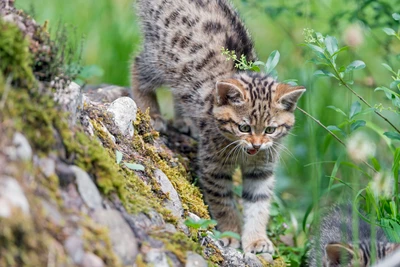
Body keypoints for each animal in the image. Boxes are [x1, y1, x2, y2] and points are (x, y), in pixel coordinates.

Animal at [130, 0, 304, 256]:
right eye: (244, 127)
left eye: (270, 130)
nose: (256, 145)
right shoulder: (213, 167)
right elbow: (223, 202)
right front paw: (231, 234)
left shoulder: (262, 168)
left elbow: (259, 202)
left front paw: (256, 239)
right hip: (163, 58)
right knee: (138, 63)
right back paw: (151, 112)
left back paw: (184, 121)